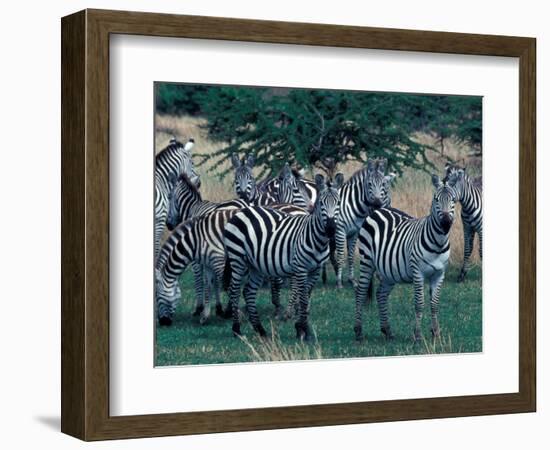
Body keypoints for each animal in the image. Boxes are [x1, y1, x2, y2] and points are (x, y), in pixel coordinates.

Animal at [156, 204, 310, 324]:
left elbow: (227, 286)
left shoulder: (218, 259)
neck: (197, 239)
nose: (163, 322)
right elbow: (209, 286)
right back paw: (297, 309)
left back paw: (289, 312)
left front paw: (234, 313)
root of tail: (302, 210)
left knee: (296, 283)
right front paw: (206, 316)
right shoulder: (208, 263)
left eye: (158, 297)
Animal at [224, 173, 344, 342]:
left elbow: (306, 296)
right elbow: (303, 298)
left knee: (248, 292)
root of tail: (242, 212)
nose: (331, 228)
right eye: (321, 203)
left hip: (254, 265)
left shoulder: (315, 270)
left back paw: (260, 330)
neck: (317, 240)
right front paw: (303, 329)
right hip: (237, 258)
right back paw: (237, 330)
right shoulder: (300, 268)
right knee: (234, 290)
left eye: (338, 203)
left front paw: (301, 327)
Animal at [334, 160, 394, 290]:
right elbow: (340, 256)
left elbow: (351, 256)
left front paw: (352, 280)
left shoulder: (354, 232)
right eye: (369, 184)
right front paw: (339, 283)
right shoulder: (340, 231)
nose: (377, 203)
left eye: (384, 185)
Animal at [354, 174, 462, 342]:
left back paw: (387, 330)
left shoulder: (439, 274)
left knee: (381, 294)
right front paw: (417, 335)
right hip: (366, 261)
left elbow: (435, 304)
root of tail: (379, 209)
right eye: (436, 199)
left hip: (389, 271)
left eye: (454, 200)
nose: (445, 223)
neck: (438, 243)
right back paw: (359, 332)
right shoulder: (418, 273)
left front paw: (436, 333)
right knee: (360, 292)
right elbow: (419, 303)